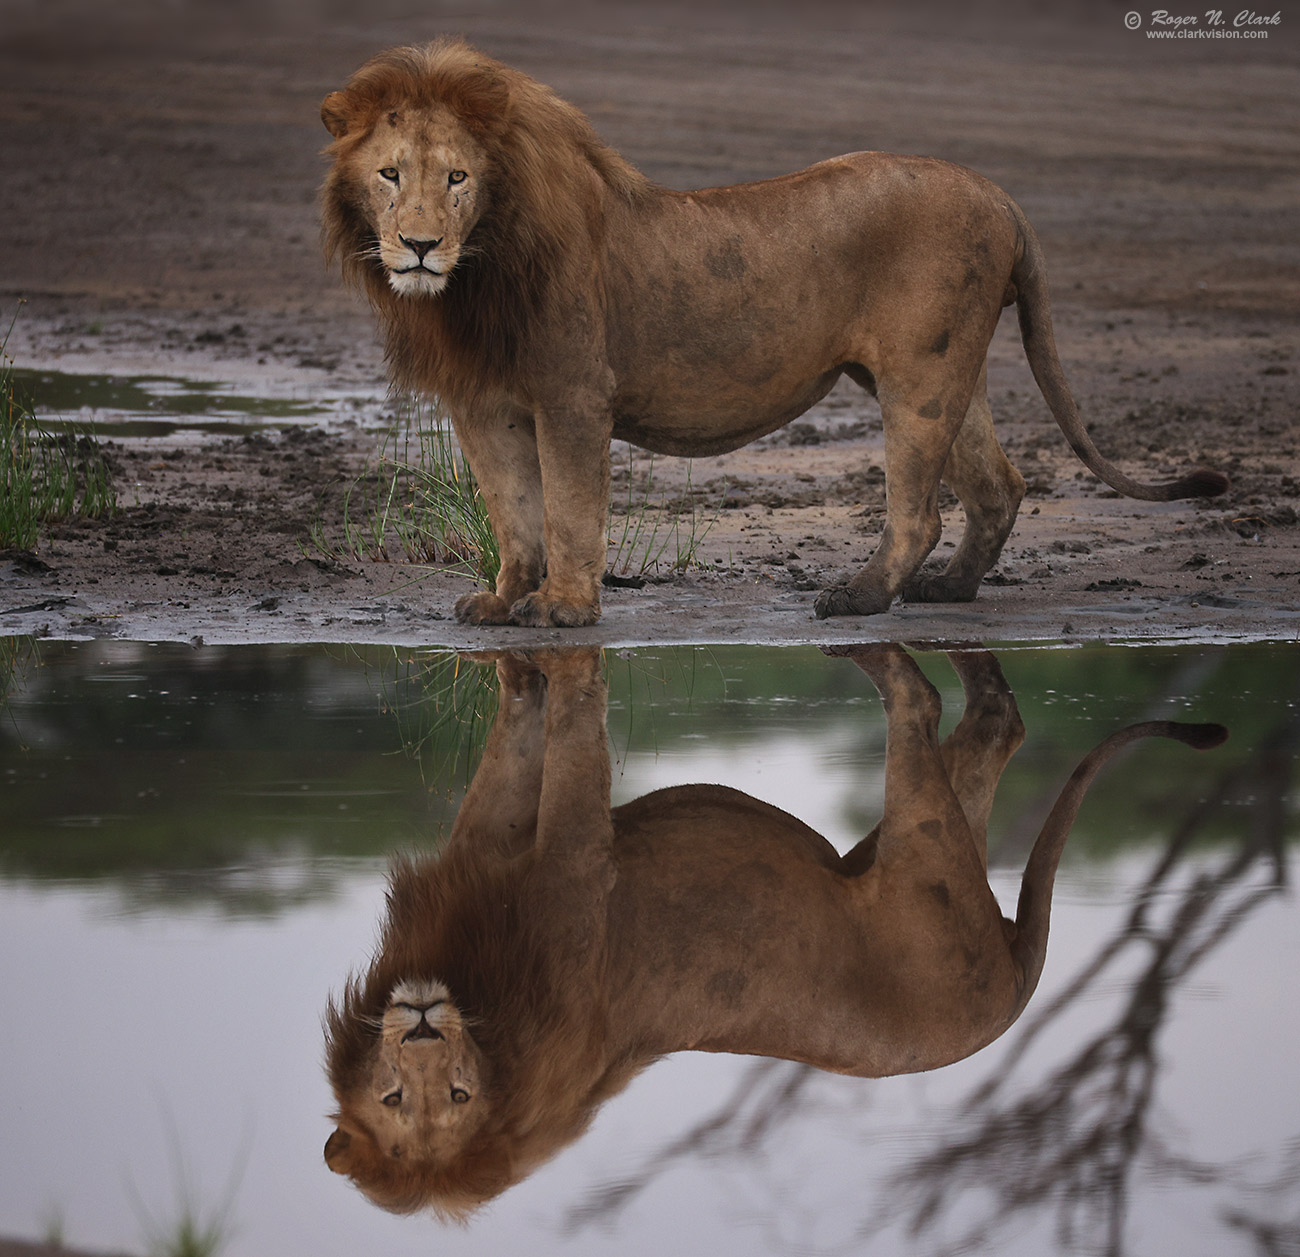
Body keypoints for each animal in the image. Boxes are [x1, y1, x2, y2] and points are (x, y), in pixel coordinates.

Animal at [319, 41, 1222, 626]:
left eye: (457, 177)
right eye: (390, 173)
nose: (420, 245)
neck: (477, 270)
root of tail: (998, 192)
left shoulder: (575, 394)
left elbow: (570, 507)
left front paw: (566, 610)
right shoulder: (485, 403)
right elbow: (513, 509)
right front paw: (506, 600)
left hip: (919, 375)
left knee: (918, 511)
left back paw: (857, 597)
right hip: (940, 369)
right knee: (1000, 484)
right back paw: (950, 590)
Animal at [319, 644, 1222, 1211]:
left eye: (457, 1095)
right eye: (394, 1097)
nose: (423, 1026)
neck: (485, 1012)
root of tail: (1011, 1001)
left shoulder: (571, 872)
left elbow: (568, 739)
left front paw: (553, 665)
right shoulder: (486, 864)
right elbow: (513, 740)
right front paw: (517, 666)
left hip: (922, 846)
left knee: (927, 701)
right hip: (933, 841)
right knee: (999, 719)